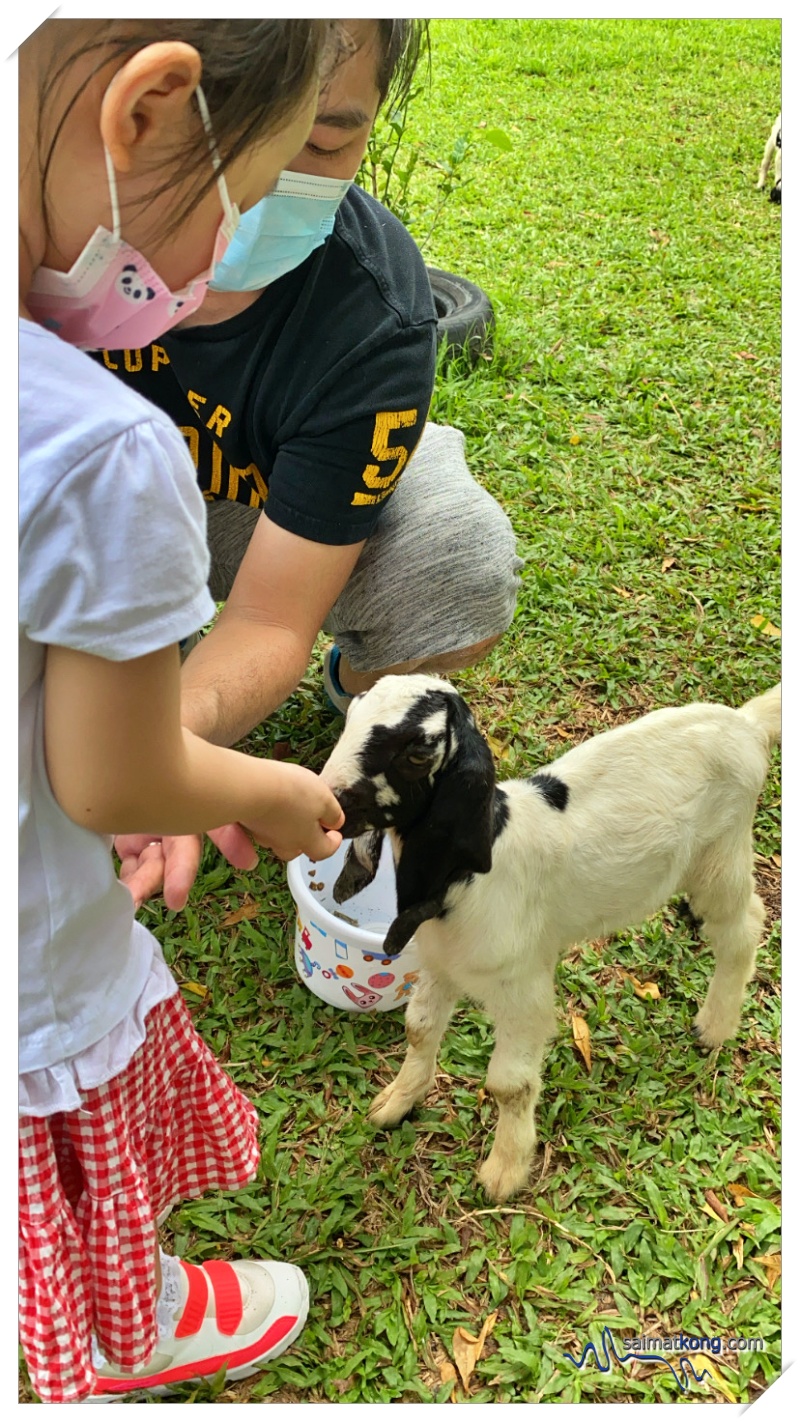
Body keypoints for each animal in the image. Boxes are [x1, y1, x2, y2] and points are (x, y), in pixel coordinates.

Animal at [321, 674, 784, 1200]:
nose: (329, 804)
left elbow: (509, 1084)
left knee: (744, 926)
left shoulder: (522, 988)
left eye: (418, 752)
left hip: (720, 854)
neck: (472, 871)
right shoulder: (441, 965)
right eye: (352, 714)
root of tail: (747, 723)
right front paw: (396, 1103)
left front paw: (503, 1172)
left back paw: (714, 1027)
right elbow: (419, 1029)